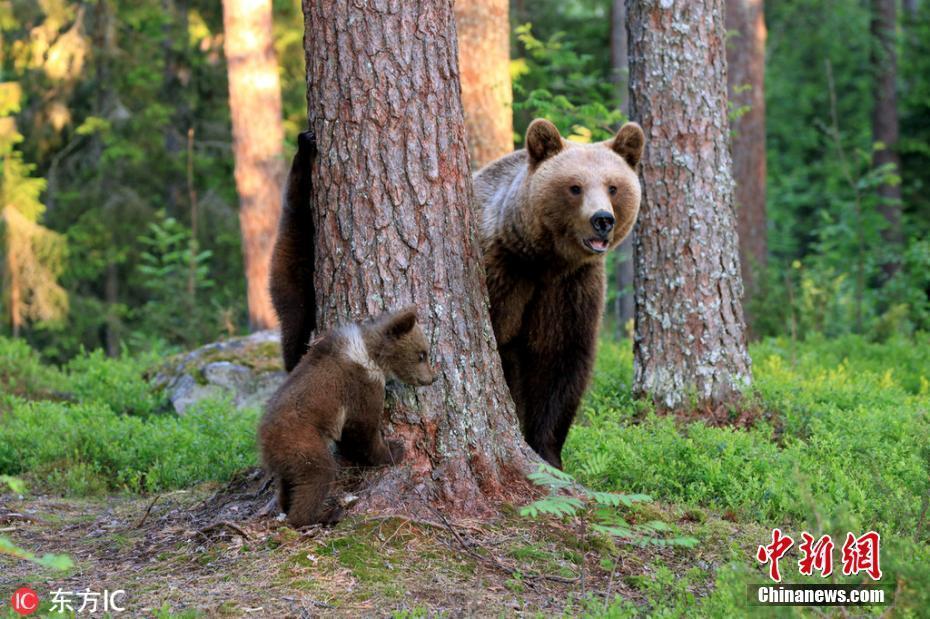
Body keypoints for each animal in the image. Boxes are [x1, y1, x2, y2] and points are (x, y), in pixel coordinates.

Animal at [474, 118, 640, 468]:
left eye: (613, 187)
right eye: (575, 187)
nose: (602, 220)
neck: (546, 262)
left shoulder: (571, 288)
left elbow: (560, 359)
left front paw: (547, 453)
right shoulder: (503, 273)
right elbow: (503, 348)